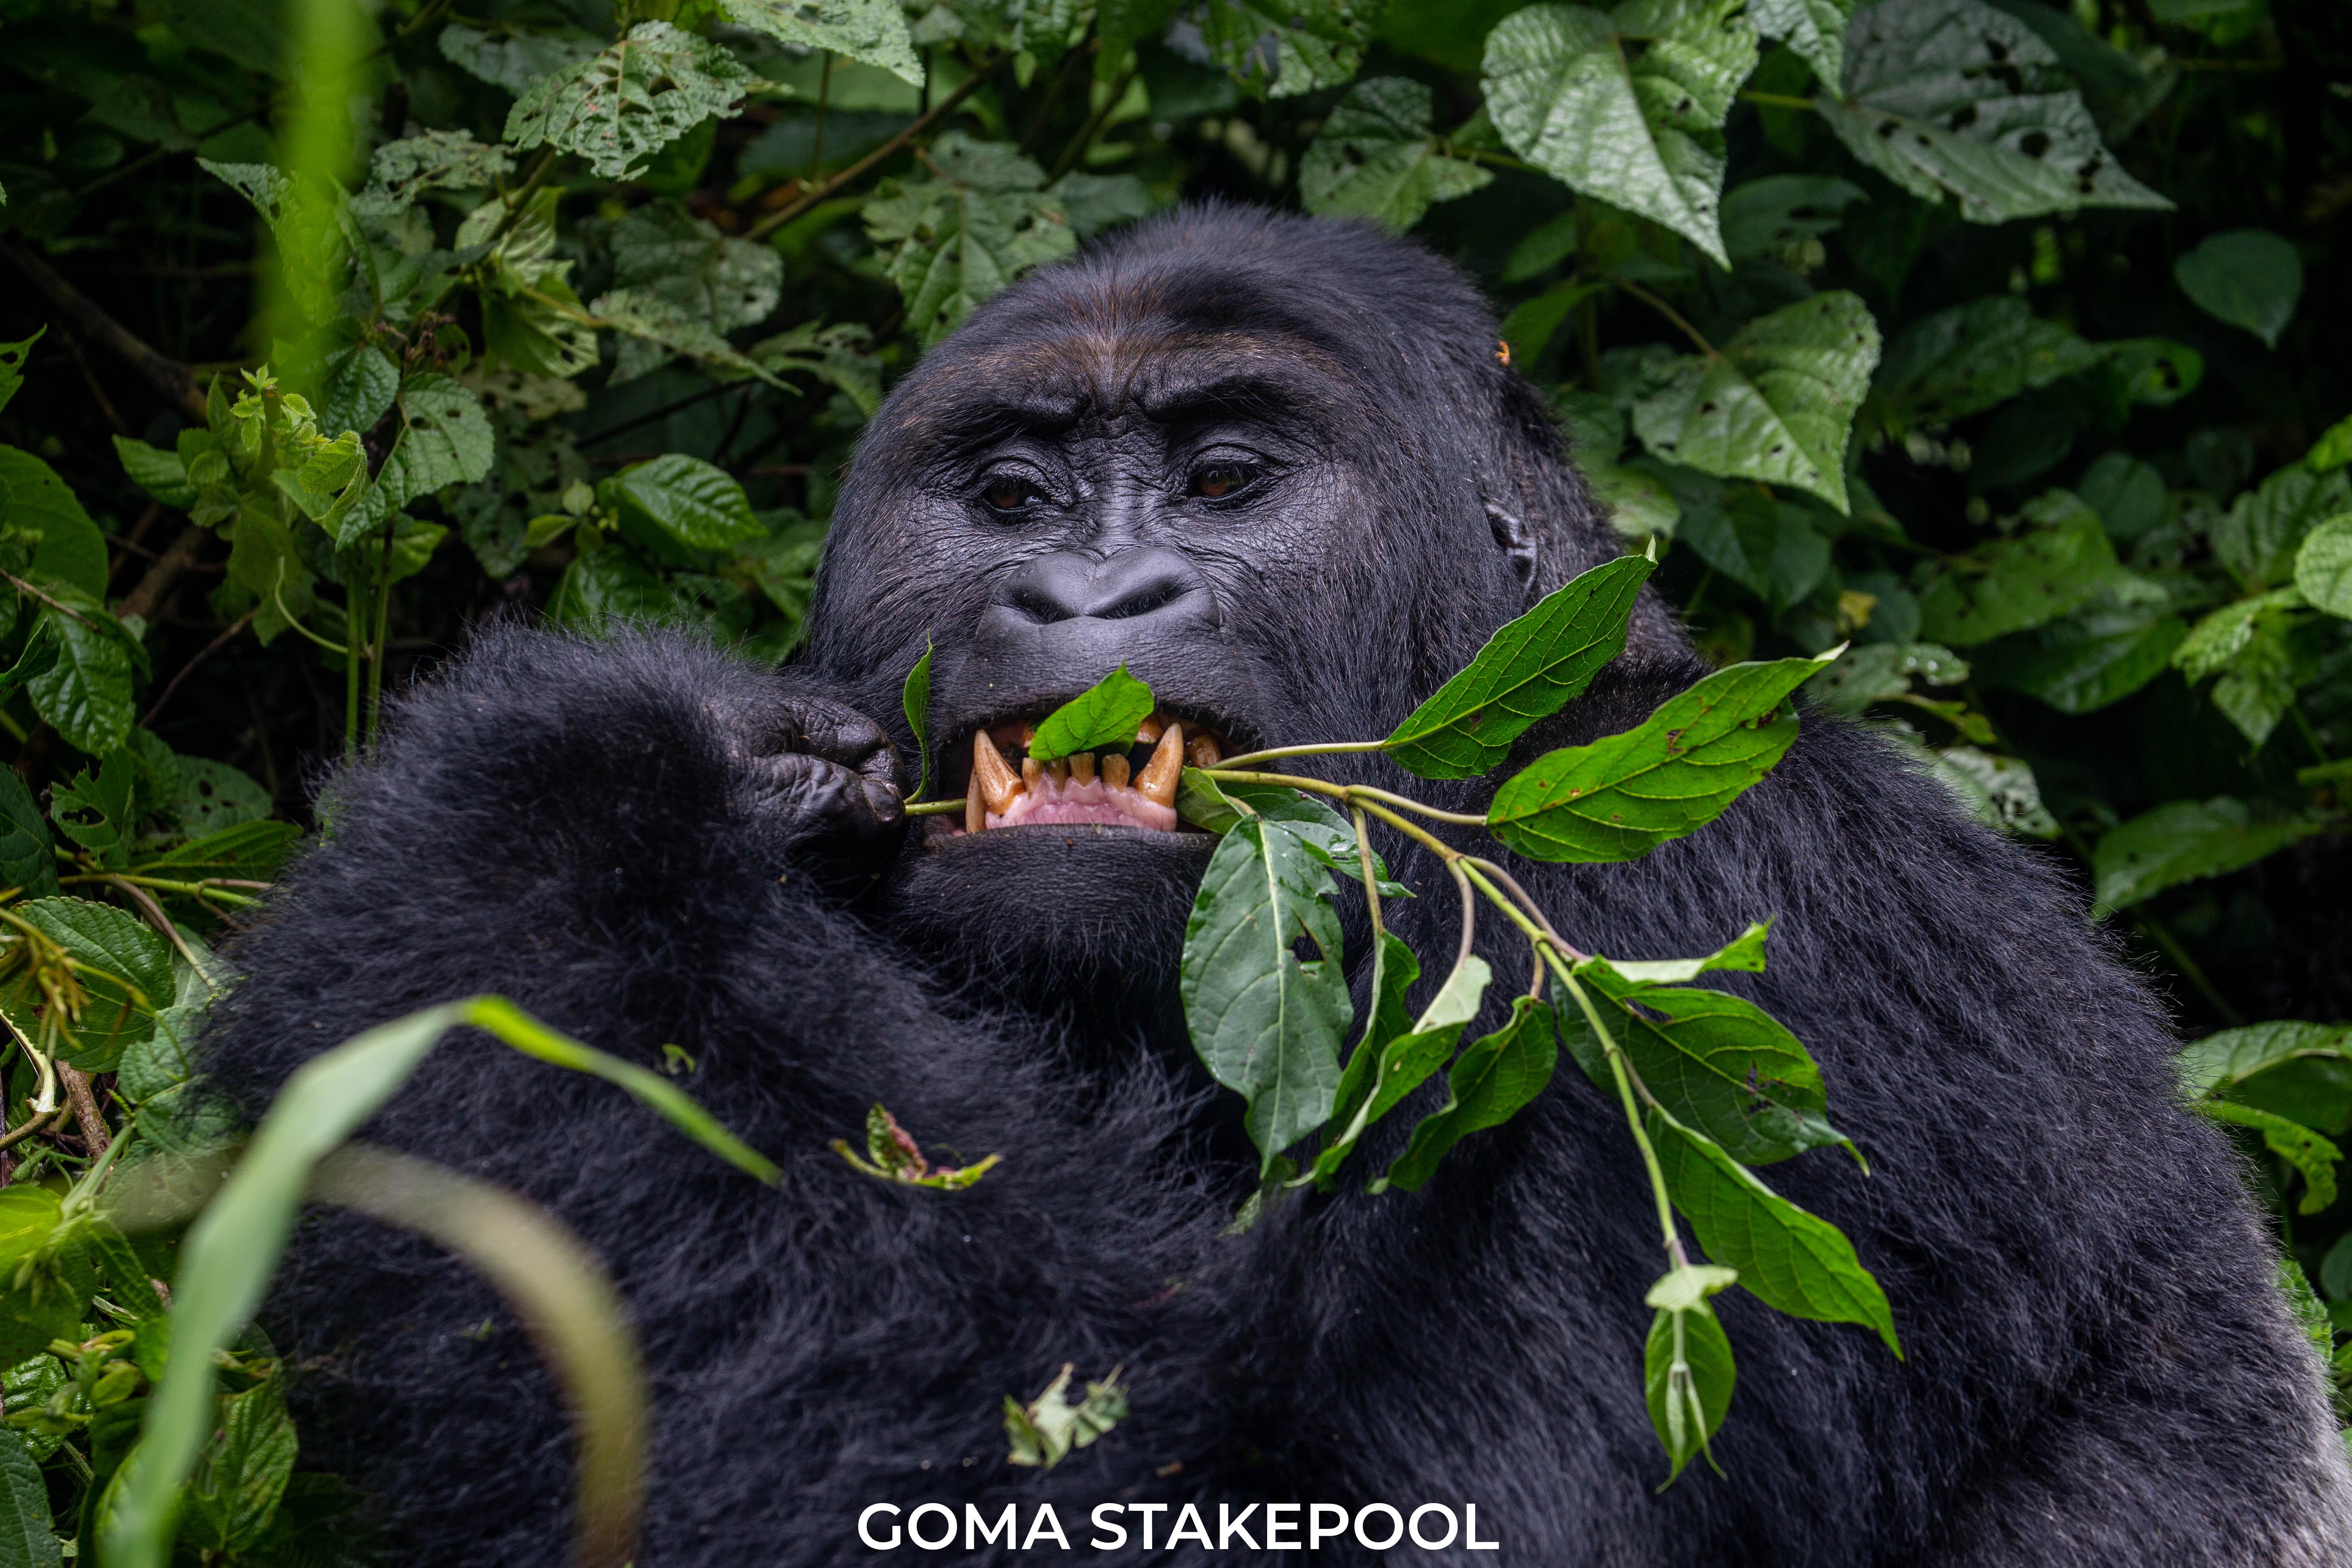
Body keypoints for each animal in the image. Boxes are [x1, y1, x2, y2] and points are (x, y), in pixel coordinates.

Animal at [202, 208, 2352, 1568]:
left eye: (1227, 479)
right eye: (1008, 497)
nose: (1084, 593)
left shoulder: (1724, 931)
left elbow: (1313, 1497)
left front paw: (577, 780)